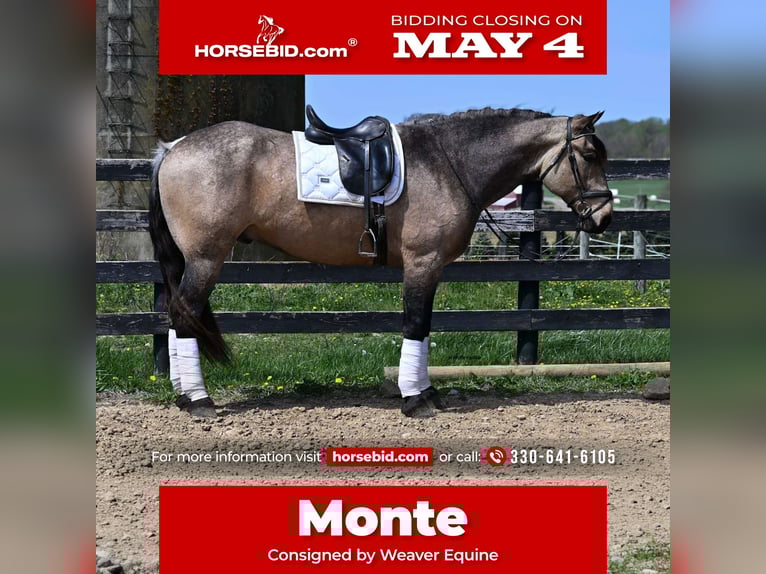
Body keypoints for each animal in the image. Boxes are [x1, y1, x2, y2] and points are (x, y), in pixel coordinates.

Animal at [148, 107, 613, 418]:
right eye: (590, 154)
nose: (605, 216)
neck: (448, 162)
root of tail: (172, 149)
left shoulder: (430, 268)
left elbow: (423, 329)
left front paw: (426, 392)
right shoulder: (423, 263)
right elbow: (416, 326)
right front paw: (415, 399)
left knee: (176, 317)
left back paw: (183, 395)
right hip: (206, 258)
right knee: (185, 315)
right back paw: (199, 401)